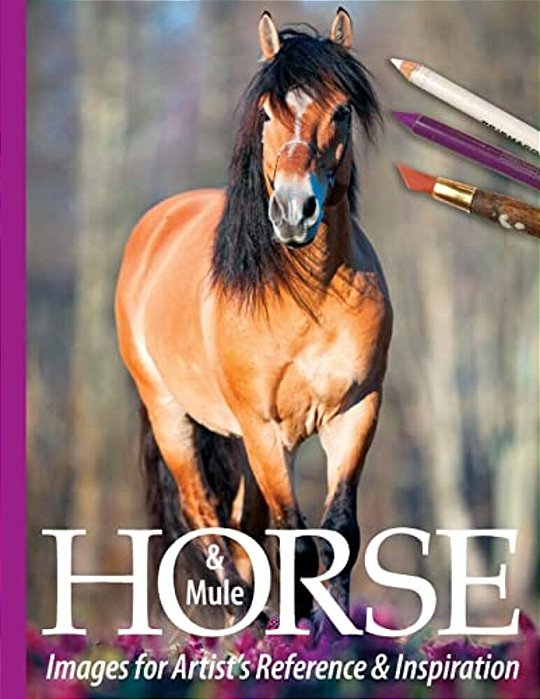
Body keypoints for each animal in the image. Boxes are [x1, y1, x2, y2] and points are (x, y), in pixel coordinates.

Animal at [115, 8, 392, 626]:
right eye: (267, 112)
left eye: (341, 111)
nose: (294, 211)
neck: (309, 296)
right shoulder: (266, 430)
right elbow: (297, 542)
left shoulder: (355, 413)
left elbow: (339, 533)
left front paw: (337, 637)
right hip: (173, 417)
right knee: (207, 522)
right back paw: (245, 628)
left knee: (242, 531)